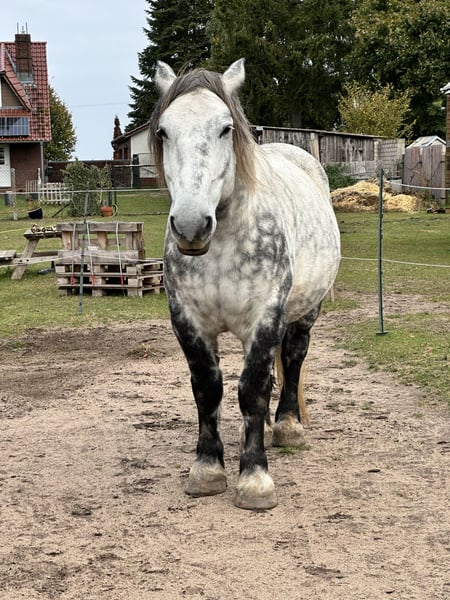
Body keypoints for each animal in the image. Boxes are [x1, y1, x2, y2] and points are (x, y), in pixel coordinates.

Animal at [149, 59, 341, 510]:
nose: (191, 225)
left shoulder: (265, 316)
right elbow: (209, 389)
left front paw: (254, 477)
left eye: (225, 128)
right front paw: (207, 469)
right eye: (163, 131)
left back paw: (286, 427)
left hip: (304, 312)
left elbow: (252, 389)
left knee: (292, 359)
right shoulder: (188, 321)